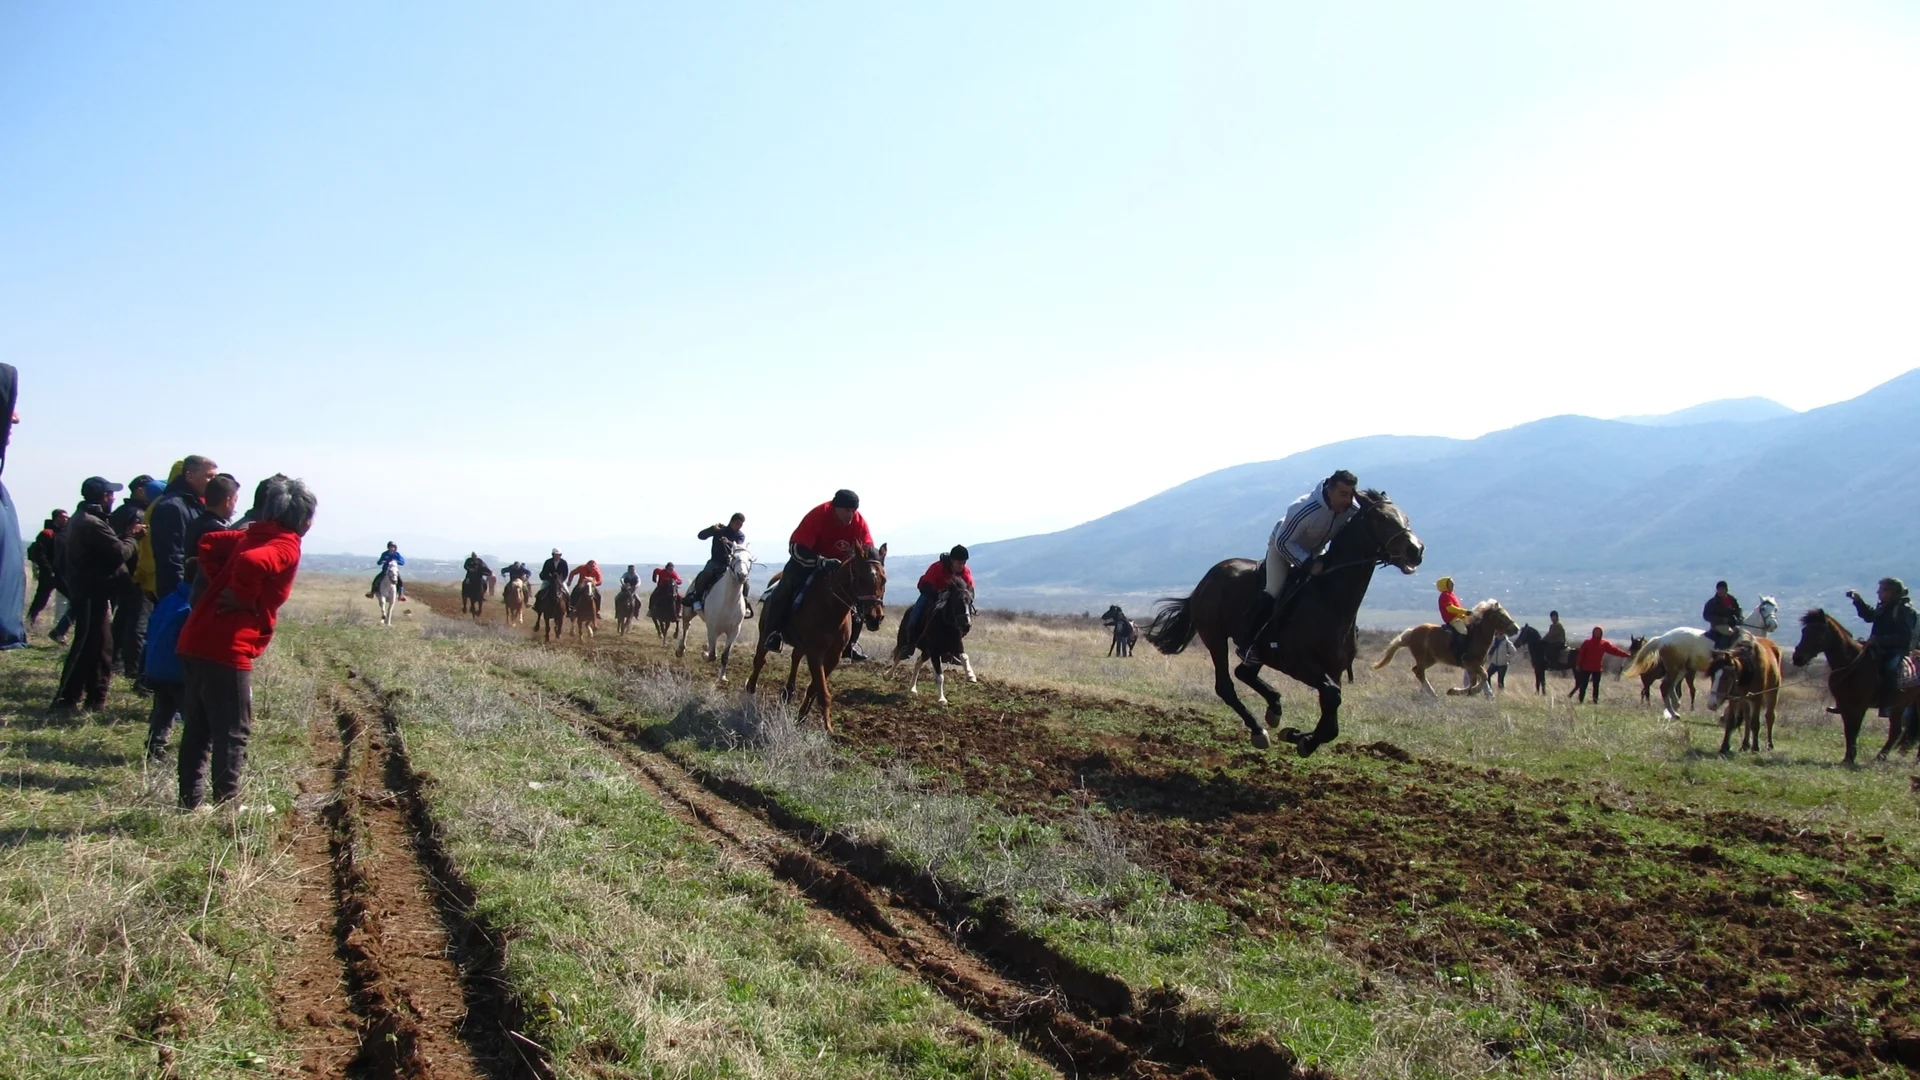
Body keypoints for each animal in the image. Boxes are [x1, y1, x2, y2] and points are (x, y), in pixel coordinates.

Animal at [683, 538, 756, 680]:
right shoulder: (712, 629)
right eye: (734, 557)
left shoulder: (734, 632)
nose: (742, 575)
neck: (729, 602)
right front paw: (704, 654)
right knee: (686, 625)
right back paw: (680, 650)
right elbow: (712, 655)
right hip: (688, 611)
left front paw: (722, 677)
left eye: (749, 559)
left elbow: (724, 656)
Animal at [744, 538, 887, 730]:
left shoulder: (833, 656)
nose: (875, 618)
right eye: (861, 577)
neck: (830, 608)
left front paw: (802, 717)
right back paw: (751, 690)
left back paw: (788, 692)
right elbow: (823, 692)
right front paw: (828, 730)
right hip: (764, 634)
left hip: (800, 645)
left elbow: (815, 687)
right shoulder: (815, 653)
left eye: (884, 580)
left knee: (795, 658)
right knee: (760, 660)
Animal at [1136, 491, 1428, 753]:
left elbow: (1332, 716)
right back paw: (1258, 730)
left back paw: (1274, 708)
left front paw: (1299, 736)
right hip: (1215, 637)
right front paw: (1302, 739)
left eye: (1406, 517)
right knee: (1226, 686)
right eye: (1381, 518)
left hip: (1257, 650)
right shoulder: (1299, 663)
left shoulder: (1333, 669)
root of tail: (1207, 579)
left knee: (1244, 673)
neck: (1330, 598)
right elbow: (1332, 698)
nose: (1415, 550)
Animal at [1374, 595, 1520, 699]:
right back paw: (1432, 694)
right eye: (1501, 615)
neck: (1477, 635)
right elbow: (1483, 676)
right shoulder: (1472, 662)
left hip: (1431, 659)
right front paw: (1471, 691)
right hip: (1422, 657)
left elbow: (1474, 680)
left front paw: (1457, 691)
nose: (1516, 629)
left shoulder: (1472, 665)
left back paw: (1428, 692)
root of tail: (1412, 633)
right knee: (1420, 672)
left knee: (1417, 671)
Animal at [1789, 607, 1912, 764]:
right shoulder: (1845, 705)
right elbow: (1848, 731)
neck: (1851, 664)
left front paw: (1850, 759)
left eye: (1818, 632)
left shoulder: (1859, 706)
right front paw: (1848, 758)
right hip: (1900, 706)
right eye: (1804, 631)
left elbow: (1854, 730)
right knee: (1896, 731)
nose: (1797, 658)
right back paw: (1880, 758)